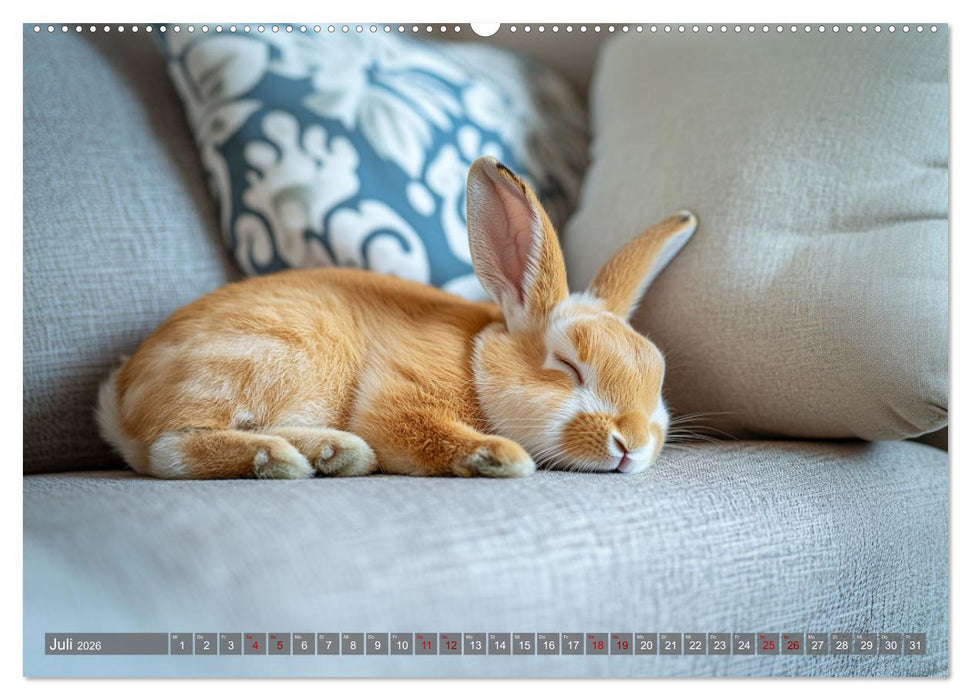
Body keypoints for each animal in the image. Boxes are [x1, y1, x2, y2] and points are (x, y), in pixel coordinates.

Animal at [96, 157, 696, 479]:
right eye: (568, 367)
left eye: (658, 379)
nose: (631, 444)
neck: (473, 361)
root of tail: (118, 399)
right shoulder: (400, 393)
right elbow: (419, 430)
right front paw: (499, 457)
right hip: (267, 357)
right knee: (168, 450)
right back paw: (280, 459)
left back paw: (334, 454)